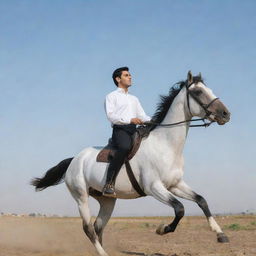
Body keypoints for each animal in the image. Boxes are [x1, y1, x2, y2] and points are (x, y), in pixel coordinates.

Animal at [31, 70, 231, 256]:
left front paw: (220, 234)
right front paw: (161, 229)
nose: (226, 114)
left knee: (98, 226)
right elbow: (180, 209)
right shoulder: (154, 188)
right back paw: (103, 253)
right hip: (81, 197)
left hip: (107, 201)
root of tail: (74, 159)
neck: (165, 145)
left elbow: (201, 200)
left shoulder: (175, 185)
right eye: (198, 92)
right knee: (88, 228)